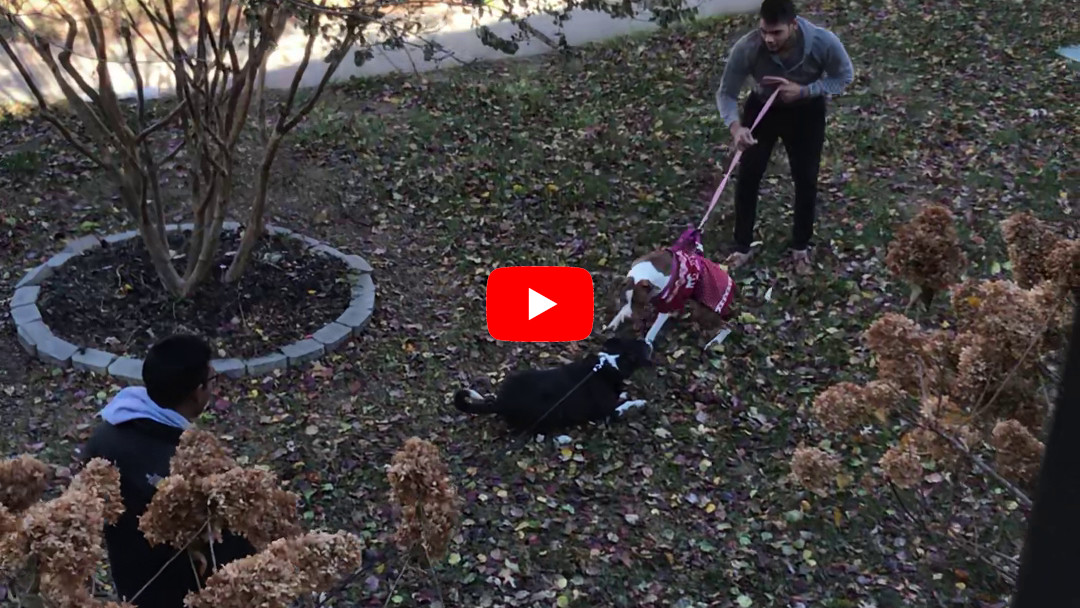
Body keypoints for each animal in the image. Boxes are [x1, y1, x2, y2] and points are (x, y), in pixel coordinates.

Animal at [453, 337, 653, 435]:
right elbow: (625, 405)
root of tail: (500, 402)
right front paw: (639, 402)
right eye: (643, 347)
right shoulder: (609, 410)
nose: (649, 341)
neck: (609, 363)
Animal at [605, 227, 736, 351]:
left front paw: (647, 345)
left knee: (729, 326)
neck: (645, 273)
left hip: (703, 313)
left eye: (640, 303)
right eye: (622, 300)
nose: (627, 318)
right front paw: (614, 322)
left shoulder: (665, 307)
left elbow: (651, 332)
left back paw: (714, 342)